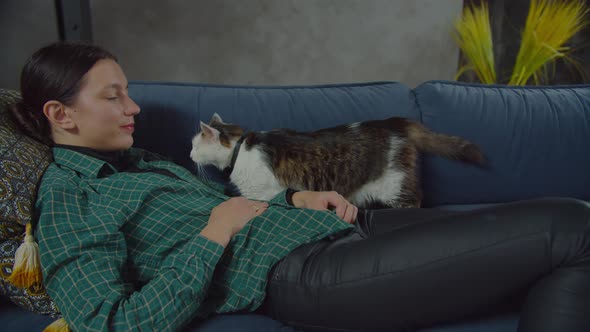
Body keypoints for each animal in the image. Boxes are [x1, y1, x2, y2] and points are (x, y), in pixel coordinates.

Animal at [191, 113, 486, 208]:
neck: (240, 148)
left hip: (395, 186)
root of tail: (393, 122)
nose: (190, 153)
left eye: (195, 144)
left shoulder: (263, 193)